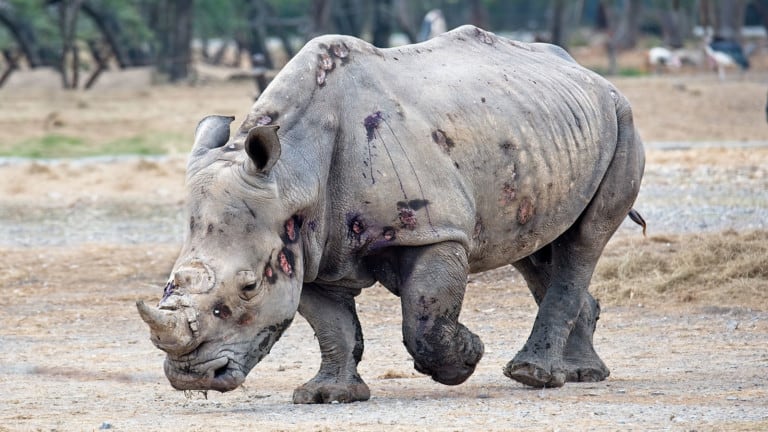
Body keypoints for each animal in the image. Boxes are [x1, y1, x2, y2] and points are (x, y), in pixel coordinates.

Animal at [136, 25, 645, 404]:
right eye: (169, 283)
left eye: (248, 287)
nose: (191, 376)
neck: (293, 171)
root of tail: (585, 72)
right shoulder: (306, 245)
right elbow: (332, 325)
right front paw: (328, 396)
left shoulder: (434, 231)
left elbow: (424, 319)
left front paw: (467, 354)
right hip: (537, 134)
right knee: (534, 248)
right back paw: (581, 374)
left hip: (622, 118)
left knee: (585, 238)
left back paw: (533, 376)